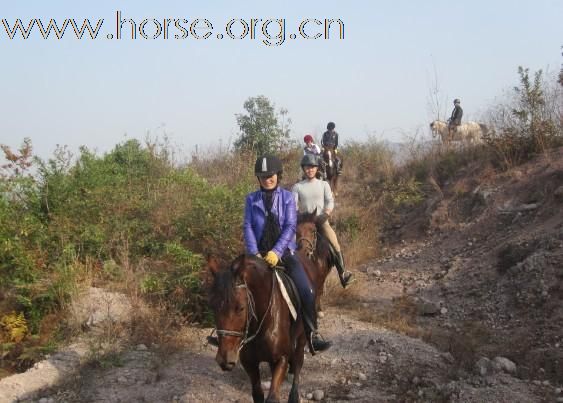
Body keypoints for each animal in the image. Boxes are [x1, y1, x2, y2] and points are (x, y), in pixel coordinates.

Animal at [208, 256, 322, 403]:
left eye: (240, 307)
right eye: (212, 305)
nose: (225, 359)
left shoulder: (281, 359)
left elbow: (272, 397)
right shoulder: (249, 363)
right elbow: (258, 394)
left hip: (302, 338)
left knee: (298, 362)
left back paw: (294, 395)